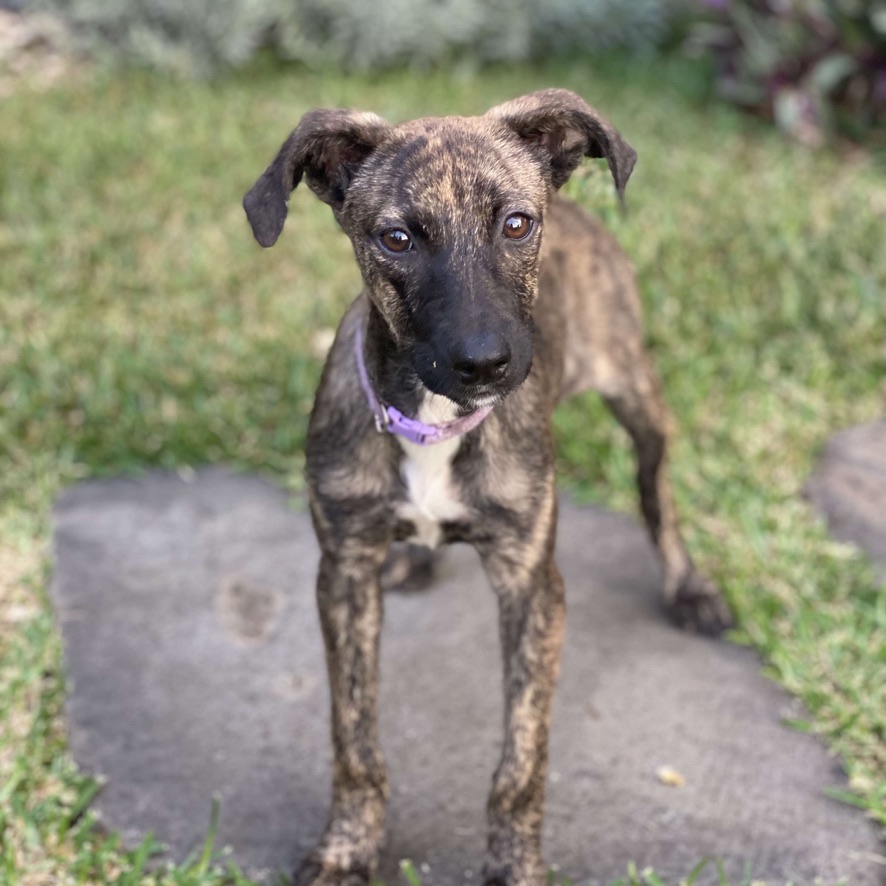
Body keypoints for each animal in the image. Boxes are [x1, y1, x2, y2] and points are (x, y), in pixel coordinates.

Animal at [245, 90, 736, 886]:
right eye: (396, 239)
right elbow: (354, 739)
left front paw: (514, 863)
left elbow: (521, 759)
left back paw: (690, 588)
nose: (484, 364)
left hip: (635, 391)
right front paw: (348, 848)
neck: (435, 424)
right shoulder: (343, 573)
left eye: (515, 224)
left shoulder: (531, 582)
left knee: (655, 491)